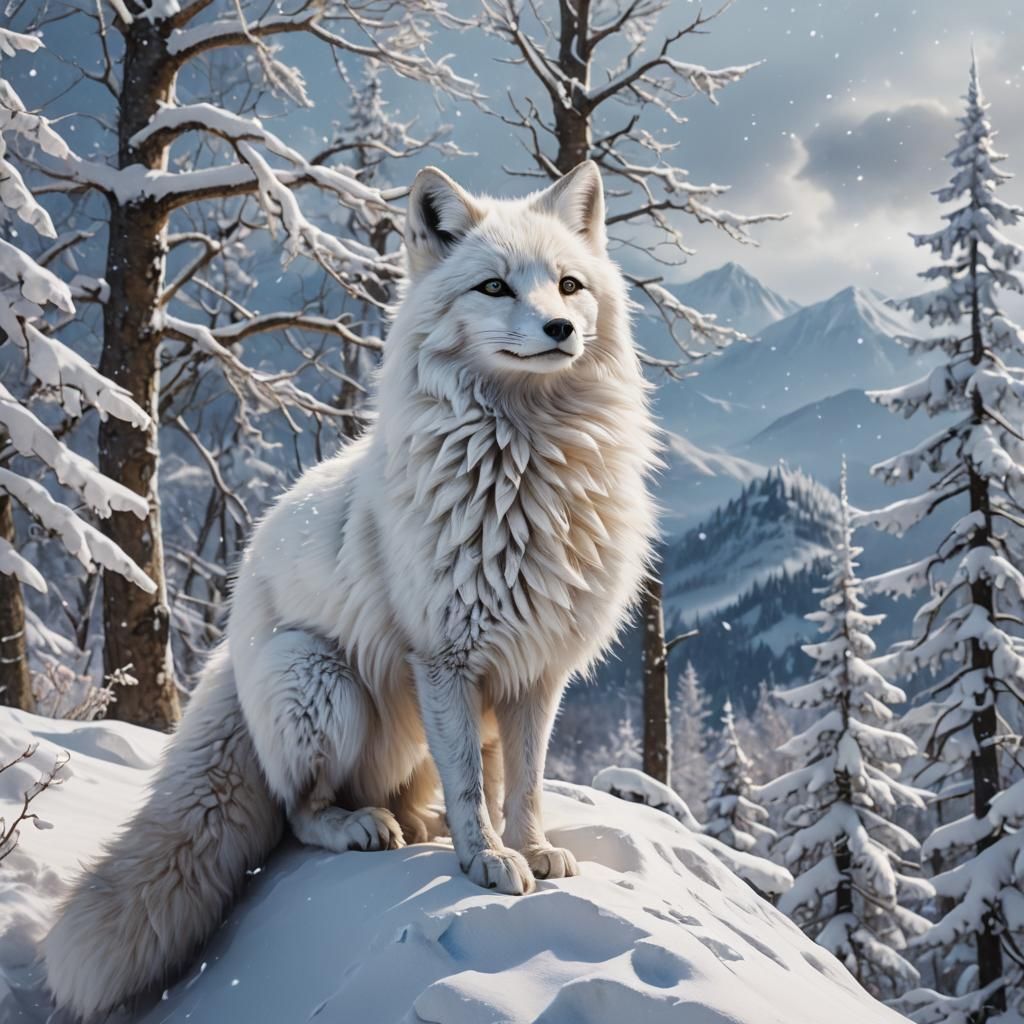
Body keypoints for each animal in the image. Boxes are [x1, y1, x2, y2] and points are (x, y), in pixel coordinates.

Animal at [44, 160, 658, 1020]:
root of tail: (229, 650)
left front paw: (530, 848)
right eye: (496, 287)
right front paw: (486, 862)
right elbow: (475, 786)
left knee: (401, 796)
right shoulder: (444, 658)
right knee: (300, 814)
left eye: (570, 285)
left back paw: (418, 821)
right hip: (319, 679)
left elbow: (525, 784)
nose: (560, 329)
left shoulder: (537, 673)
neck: (526, 470)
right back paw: (362, 827)